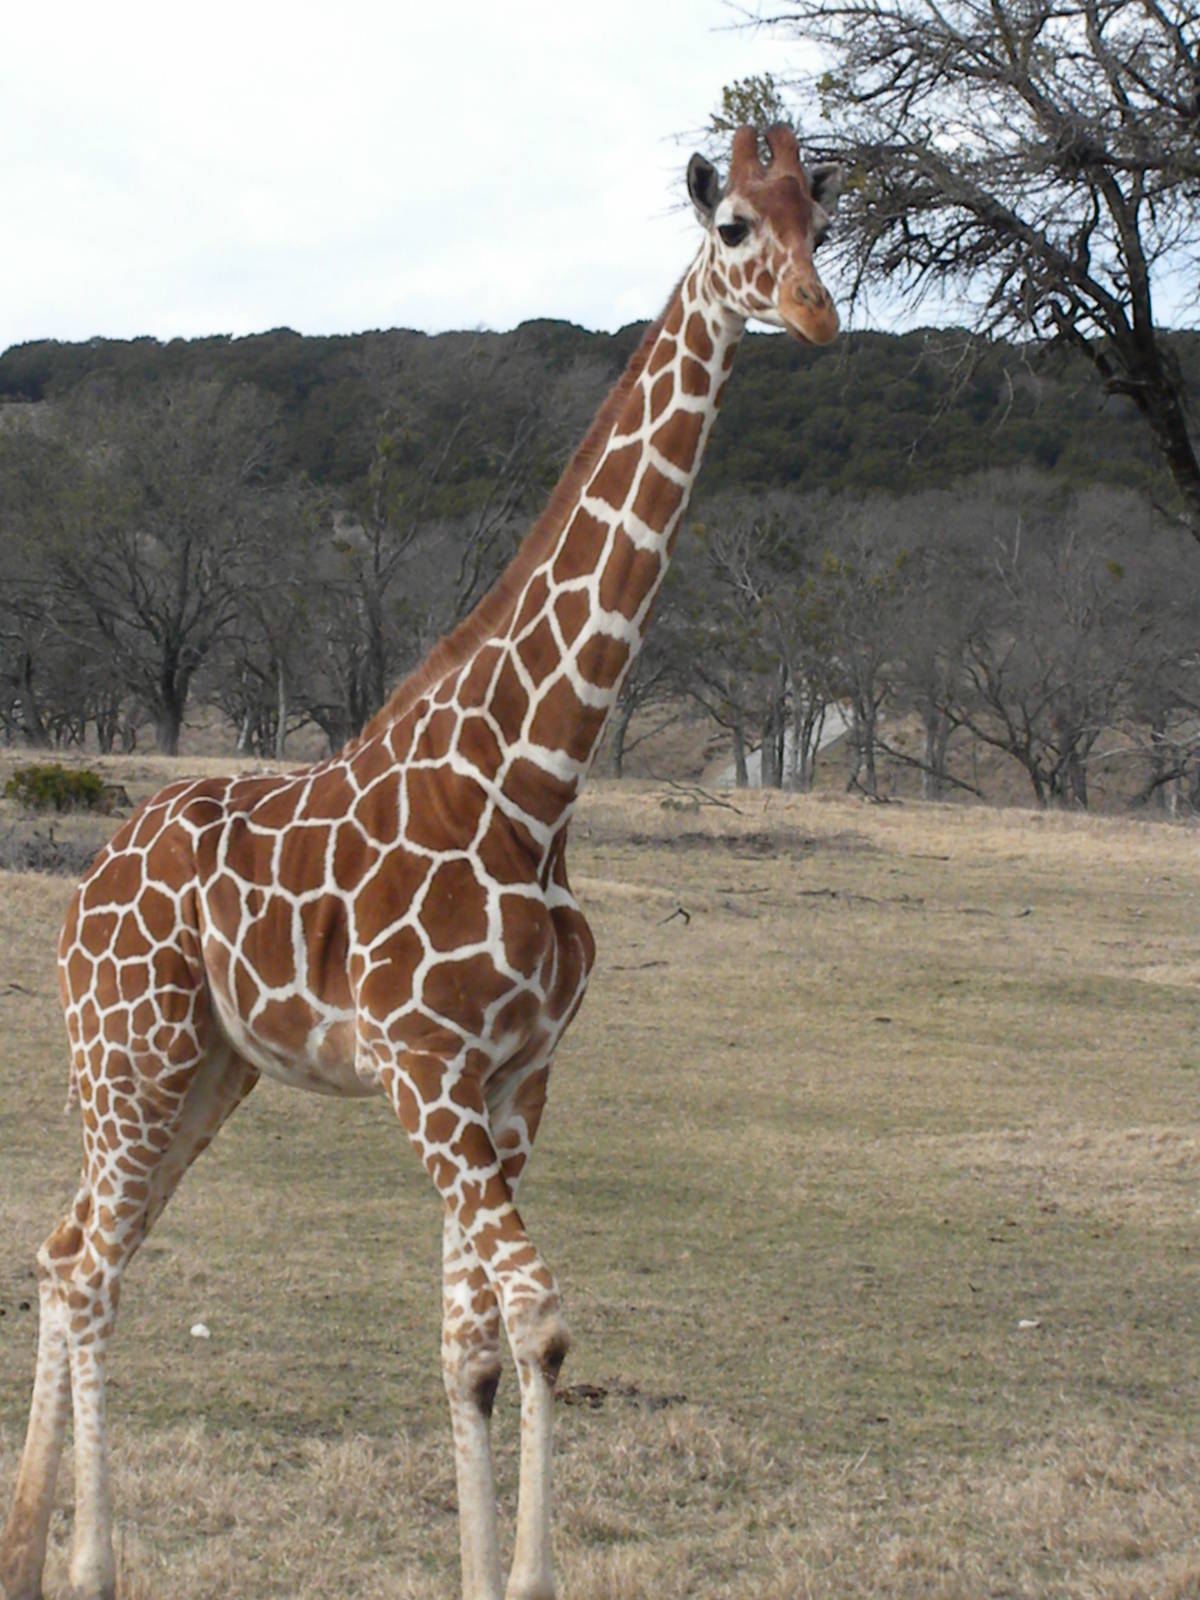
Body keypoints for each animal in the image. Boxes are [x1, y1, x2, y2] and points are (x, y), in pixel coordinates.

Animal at [1, 125, 840, 1600]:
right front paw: (526, 1574)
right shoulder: (427, 1074)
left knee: (64, 1249)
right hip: (130, 1054)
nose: (815, 312)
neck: (534, 778)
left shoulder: (514, 1083)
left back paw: (32, 1546)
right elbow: (540, 1321)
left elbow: (473, 1350)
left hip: (202, 1072)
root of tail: (82, 889)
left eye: (826, 218)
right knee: (91, 1266)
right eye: (736, 225)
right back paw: (92, 1562)